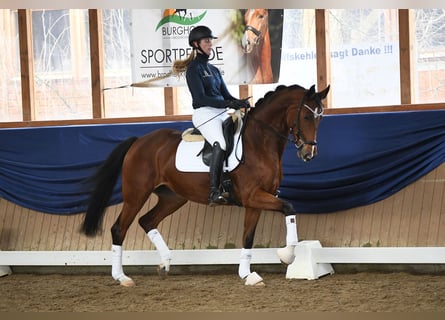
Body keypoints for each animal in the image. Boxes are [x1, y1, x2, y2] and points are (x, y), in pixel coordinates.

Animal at [80, 84, 330, 286]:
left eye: (320, 117)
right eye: (306, 117)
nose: (309, 153)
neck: (258, 142)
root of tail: (138, 142)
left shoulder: (255, 201)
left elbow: (248, 237)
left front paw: (247, 275)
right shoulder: (253, 196)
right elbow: (289, 207)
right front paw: (287, 254)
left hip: (173, 197)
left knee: (147, 221)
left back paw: (165, 263)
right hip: (136, 194)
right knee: (119, 228)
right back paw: (122, 277)